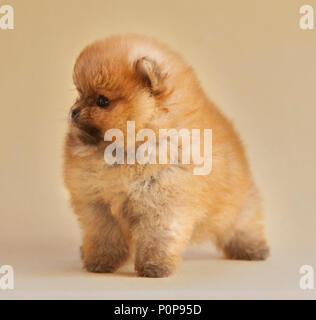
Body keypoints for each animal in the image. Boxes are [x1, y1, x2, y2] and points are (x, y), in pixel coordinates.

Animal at [63, 33, 270, 276]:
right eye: (79, 94)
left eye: (102, 101)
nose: (73, 111)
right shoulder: (98, 205)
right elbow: (104, 237)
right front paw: (100, 261)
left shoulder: (163, 203)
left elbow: (157, 237)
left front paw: (154, 266)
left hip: (238, 201)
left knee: (243, 222)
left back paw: (253, 248)